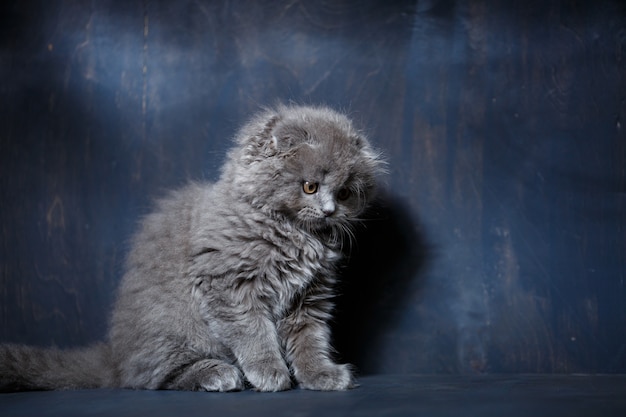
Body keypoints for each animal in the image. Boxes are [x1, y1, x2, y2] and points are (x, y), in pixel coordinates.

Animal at [0, 103, 382, 390]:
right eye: (309, 187)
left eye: (344, 193)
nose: (329, 211)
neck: (294, 233)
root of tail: (114, 357)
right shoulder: (229, 286)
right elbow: (254, 333)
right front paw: (269, 372)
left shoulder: (310, 297)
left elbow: (309, 340)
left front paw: (321, 375)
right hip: (174, 327)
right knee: (148, 378)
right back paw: (218, 374)